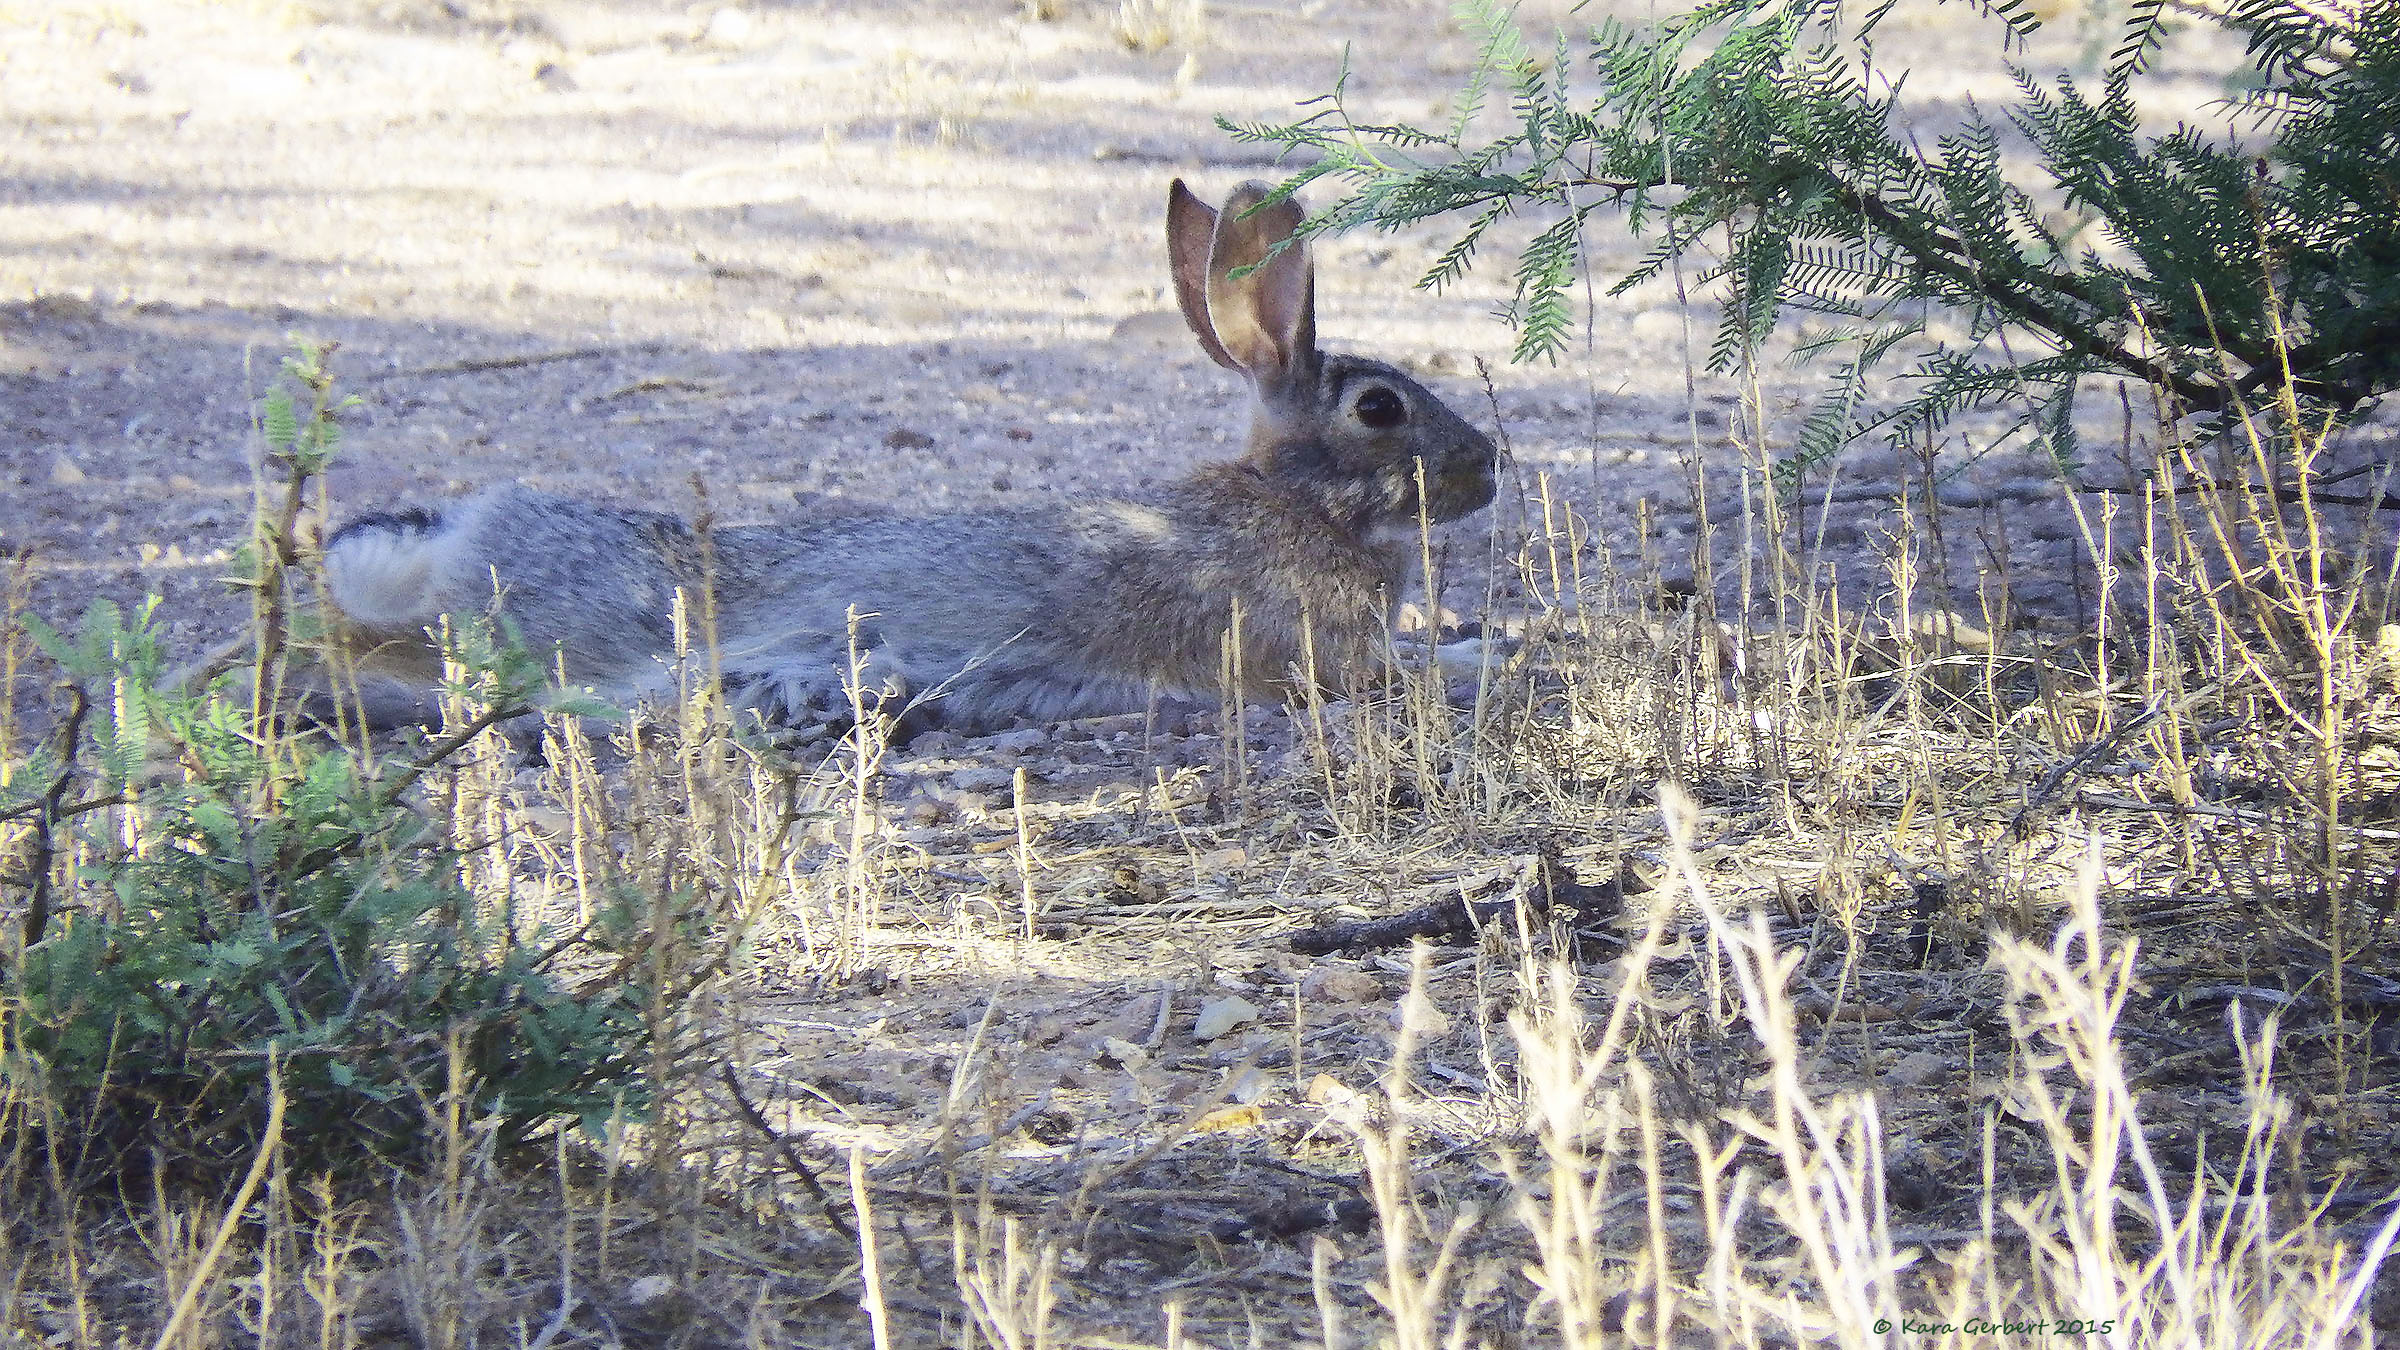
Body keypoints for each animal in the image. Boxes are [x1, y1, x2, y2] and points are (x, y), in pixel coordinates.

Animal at [319, 178, 1497, 735]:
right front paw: (1492, 655)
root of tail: (461, 535)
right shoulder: (1313, 655)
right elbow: (1404, 670)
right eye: (1380, 408)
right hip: (546, 631)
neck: (1295, 501)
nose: (1488, 468)